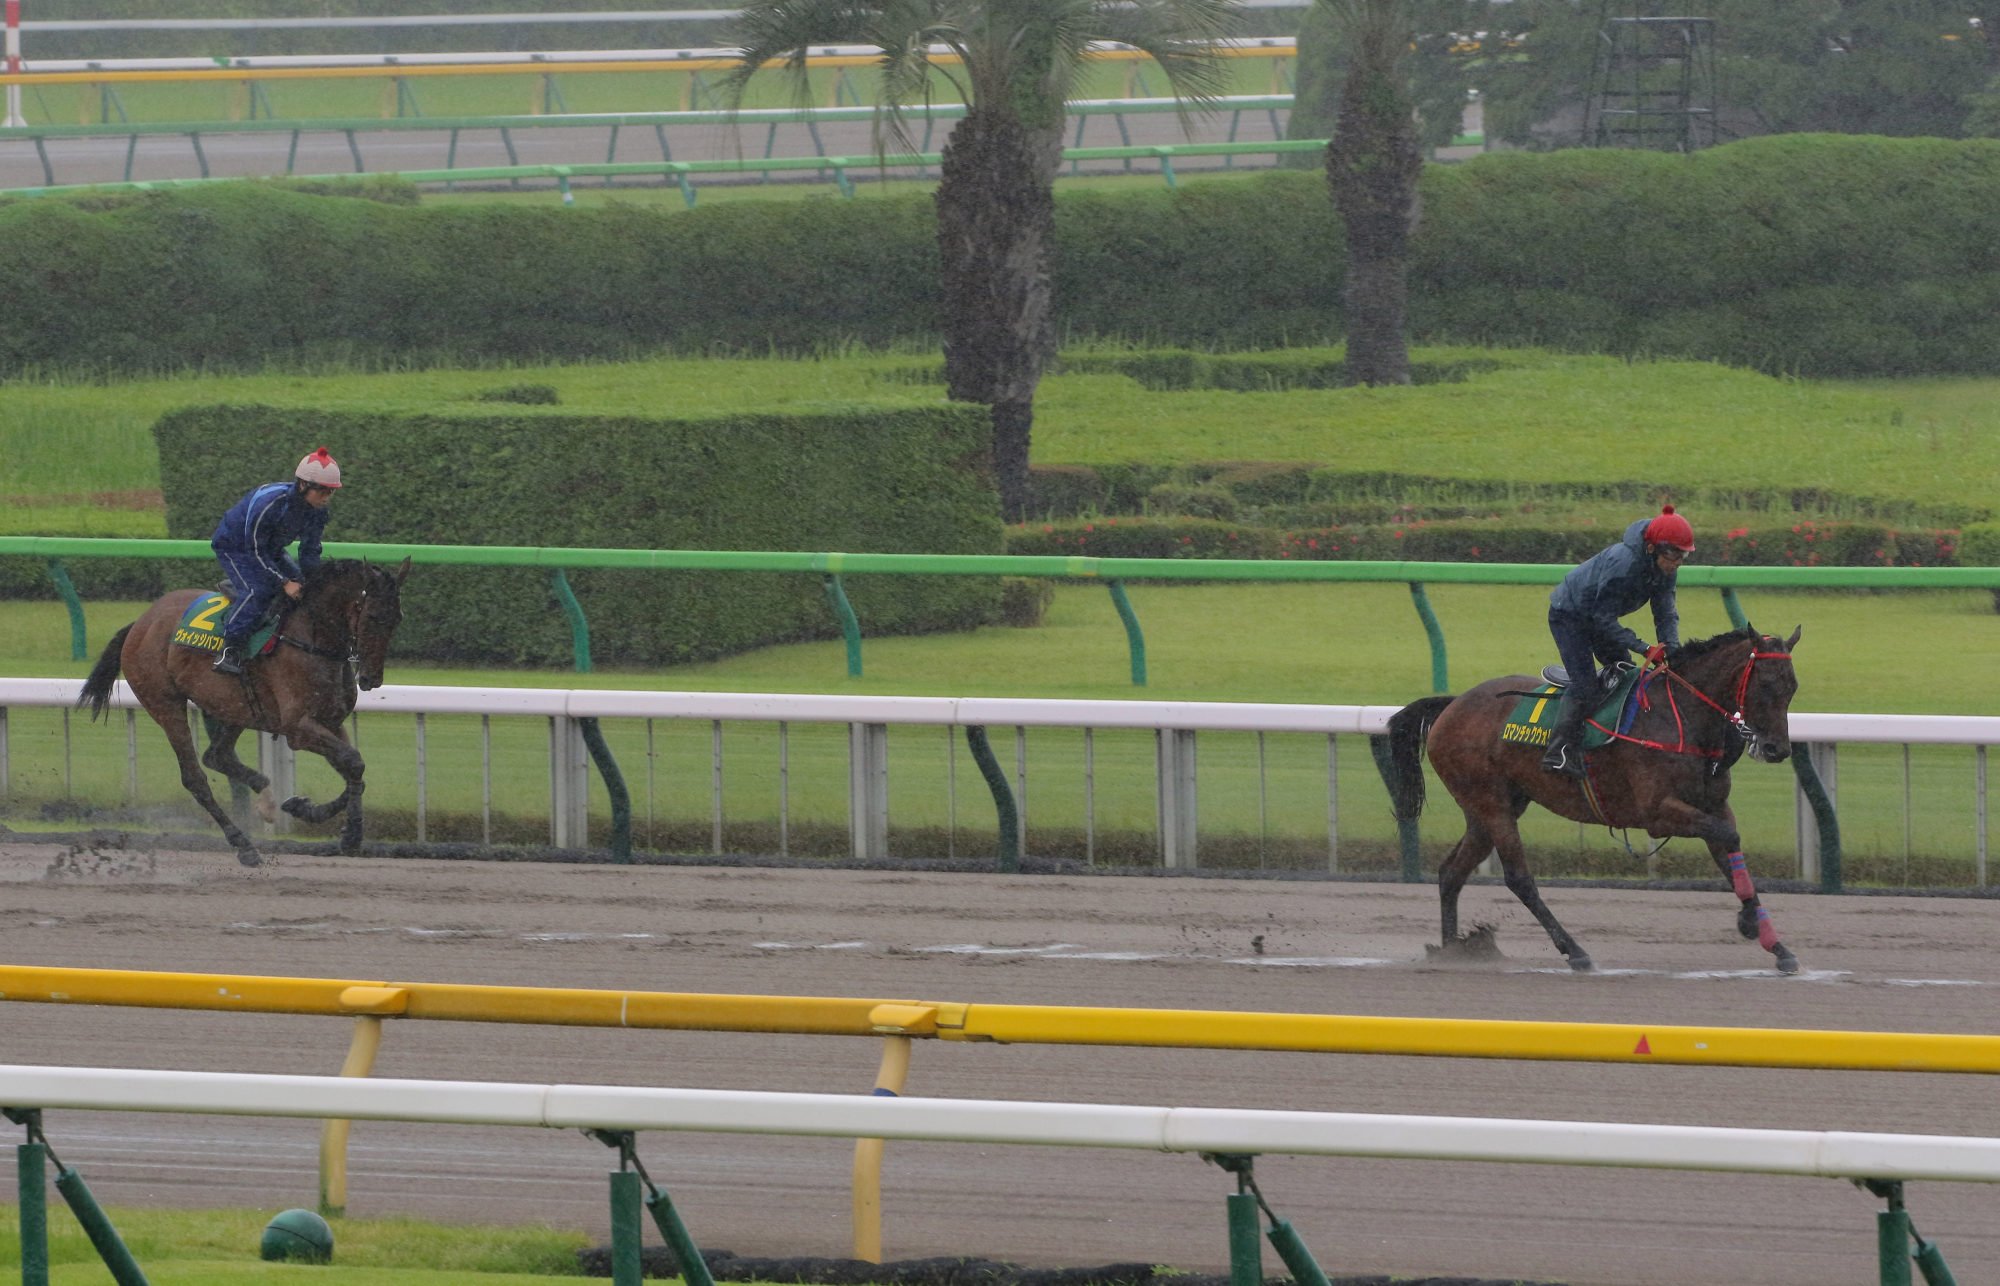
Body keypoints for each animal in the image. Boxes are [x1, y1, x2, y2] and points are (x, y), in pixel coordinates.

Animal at [77, 560, 410, 872]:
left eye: (397, 619)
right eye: (372, 616)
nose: (371, 678)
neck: (312, 639)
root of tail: (141, 622)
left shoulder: (330, 722)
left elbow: (355, 769)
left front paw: (305, 809)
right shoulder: (298, 729)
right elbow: (353, 762)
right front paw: (350, 834)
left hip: (233, 707)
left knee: (217, 755)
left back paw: (265, 797)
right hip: (165, 704)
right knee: (195, 778)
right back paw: (244, 845)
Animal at [1384, 624, 1808, 976]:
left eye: (1792, 688)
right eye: (1765, 685)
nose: (1777, 749)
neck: (1682, 720)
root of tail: (1454, 704)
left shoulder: (1713, 805)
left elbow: (1731, 850)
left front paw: (1777, 946)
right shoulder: (1658, 813)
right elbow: (1727, 836)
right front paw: (1749, 924)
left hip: (1488, 808)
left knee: (1451, 872)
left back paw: (1452, 951)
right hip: (1491, 804)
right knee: (1519, 878)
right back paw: (1575, 951)